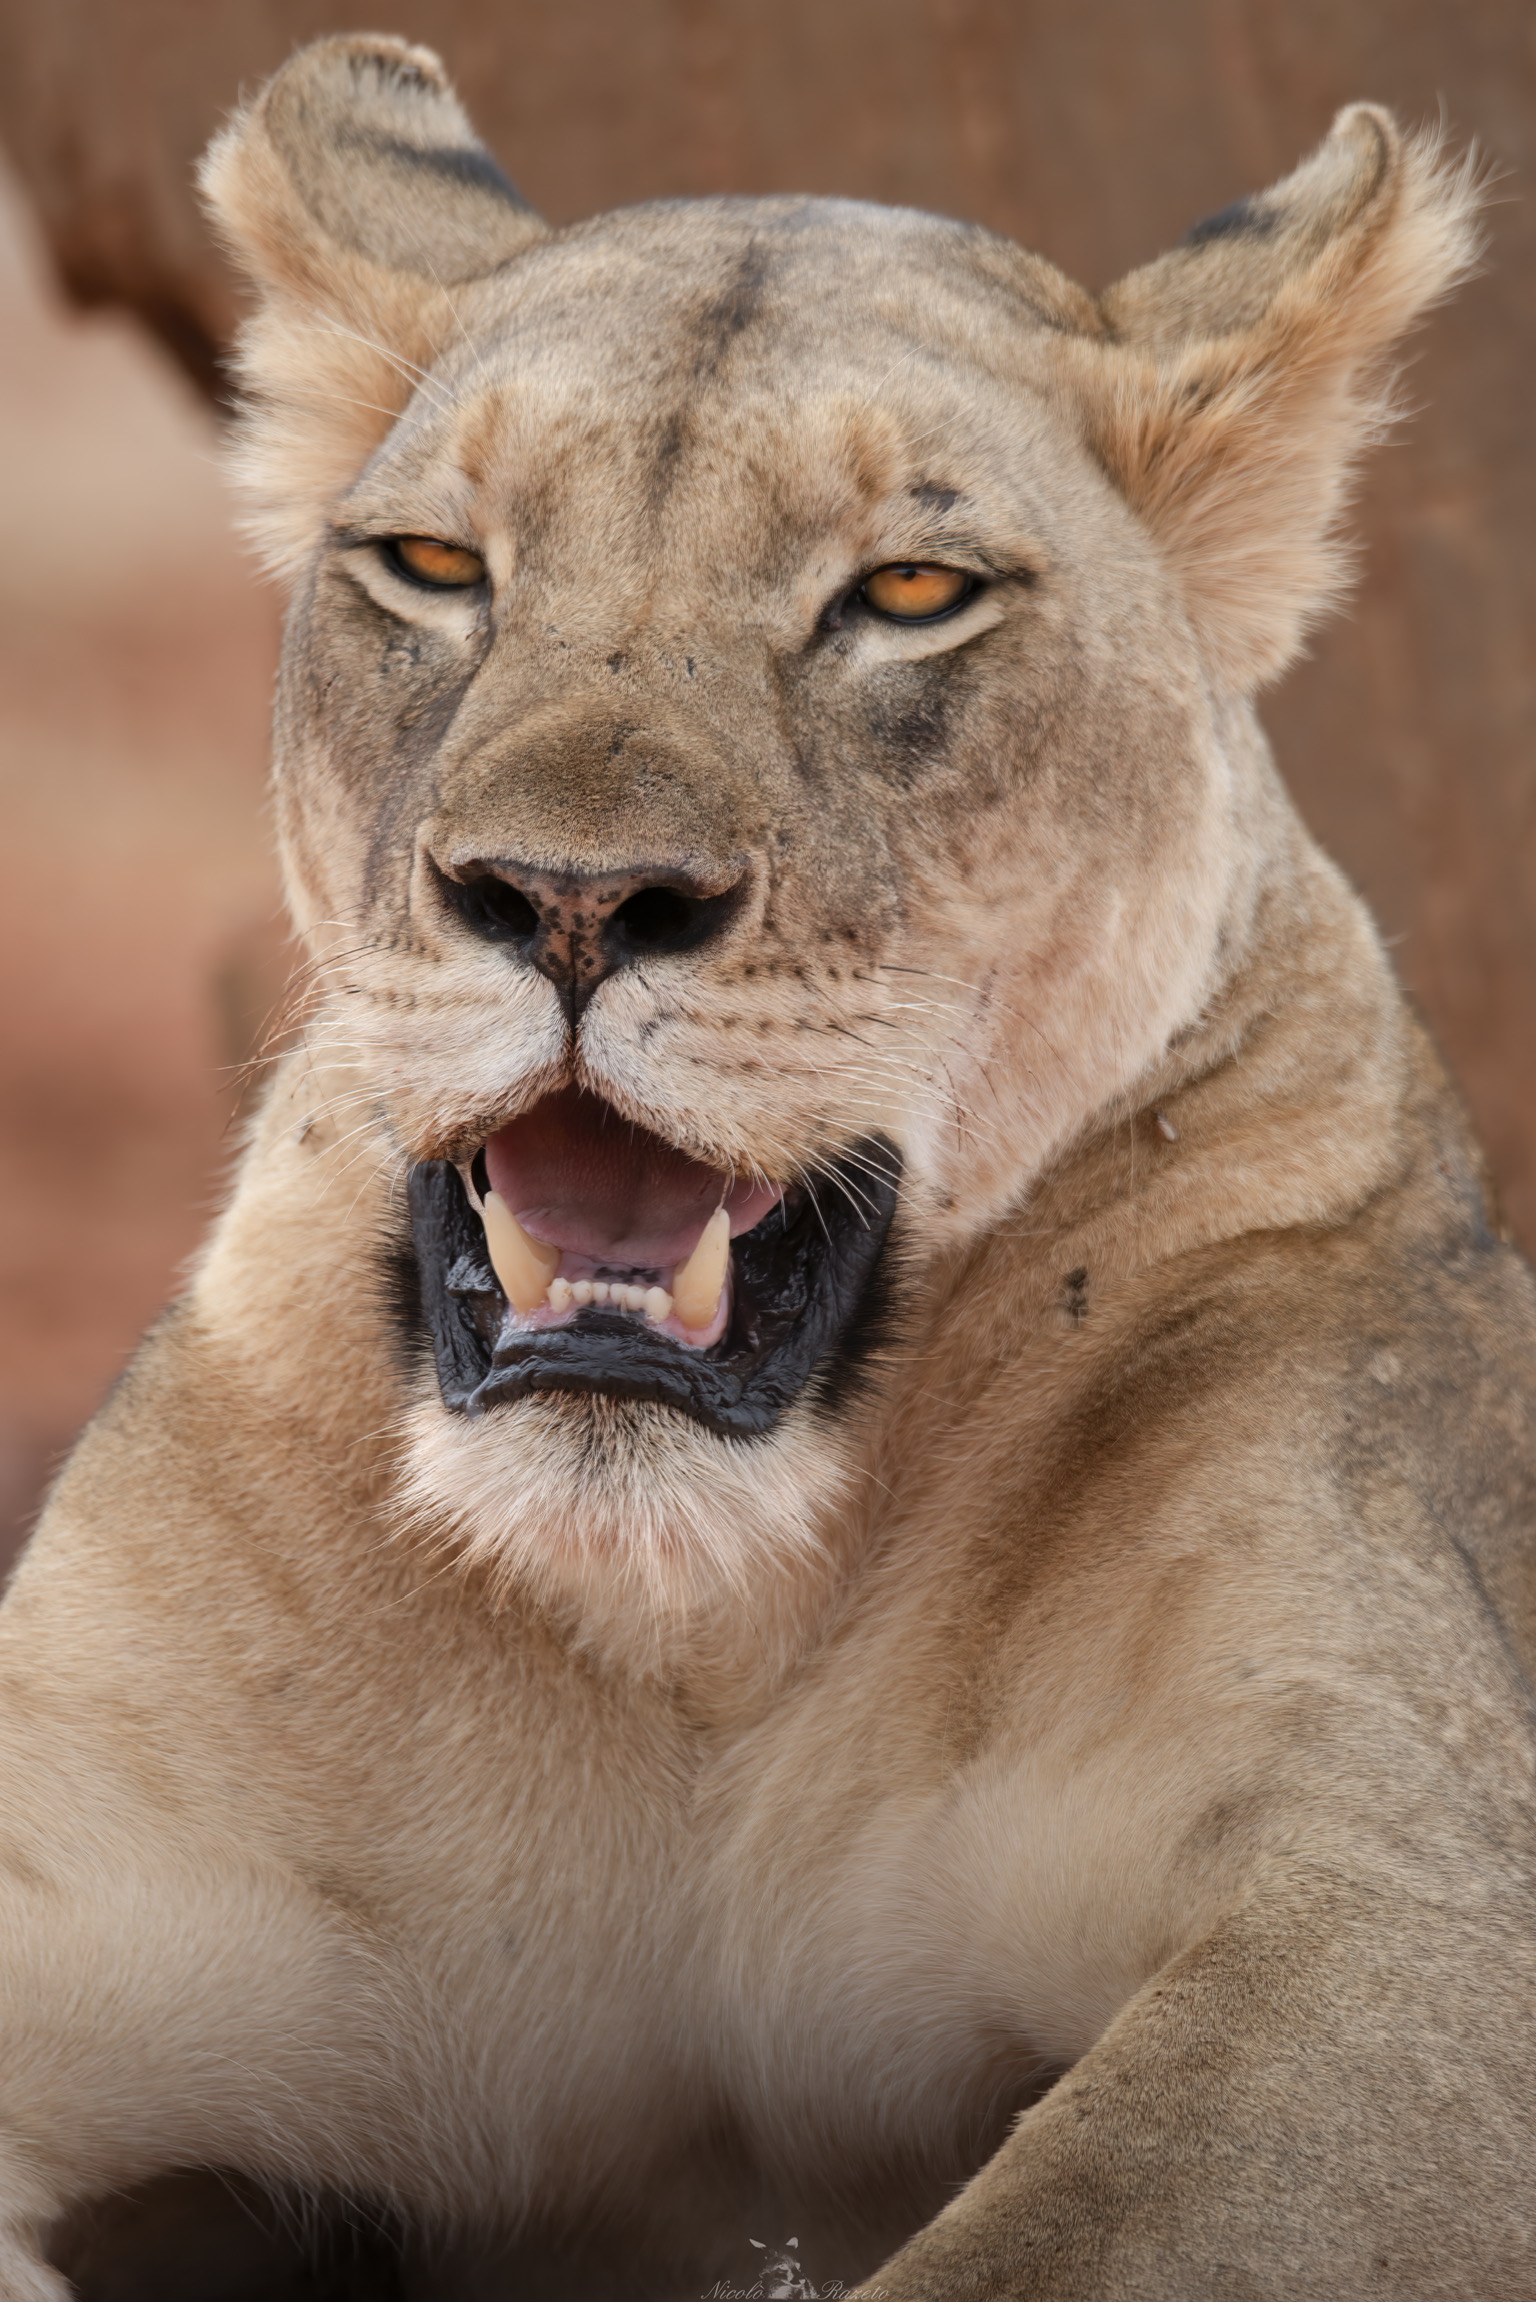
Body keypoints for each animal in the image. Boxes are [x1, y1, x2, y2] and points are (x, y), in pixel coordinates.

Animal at [2, 31, 1532, 2301]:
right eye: (435, 567)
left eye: (908, 592)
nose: (564, 899)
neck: (695, 1634)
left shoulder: (1400, 1912)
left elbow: (1064, 2241)